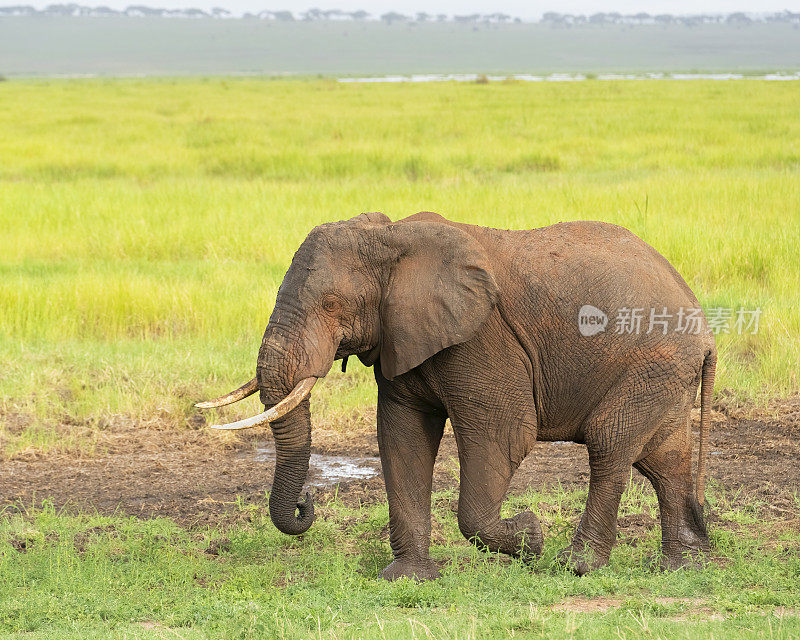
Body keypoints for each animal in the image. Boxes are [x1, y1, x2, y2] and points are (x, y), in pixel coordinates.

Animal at [197, 212, 716, 584]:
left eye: (331, 305)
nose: (307, 503)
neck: (392, 239)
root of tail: (705, 325)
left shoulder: (481, 340)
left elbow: (503, 436)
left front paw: (531, 536)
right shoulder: (401, 336)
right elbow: (402, 437)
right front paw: (406, 578)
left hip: (654, 360)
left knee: (609, 444)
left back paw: (576, 566)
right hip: (665, 372)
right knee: (663, 459)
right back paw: (685, 567)